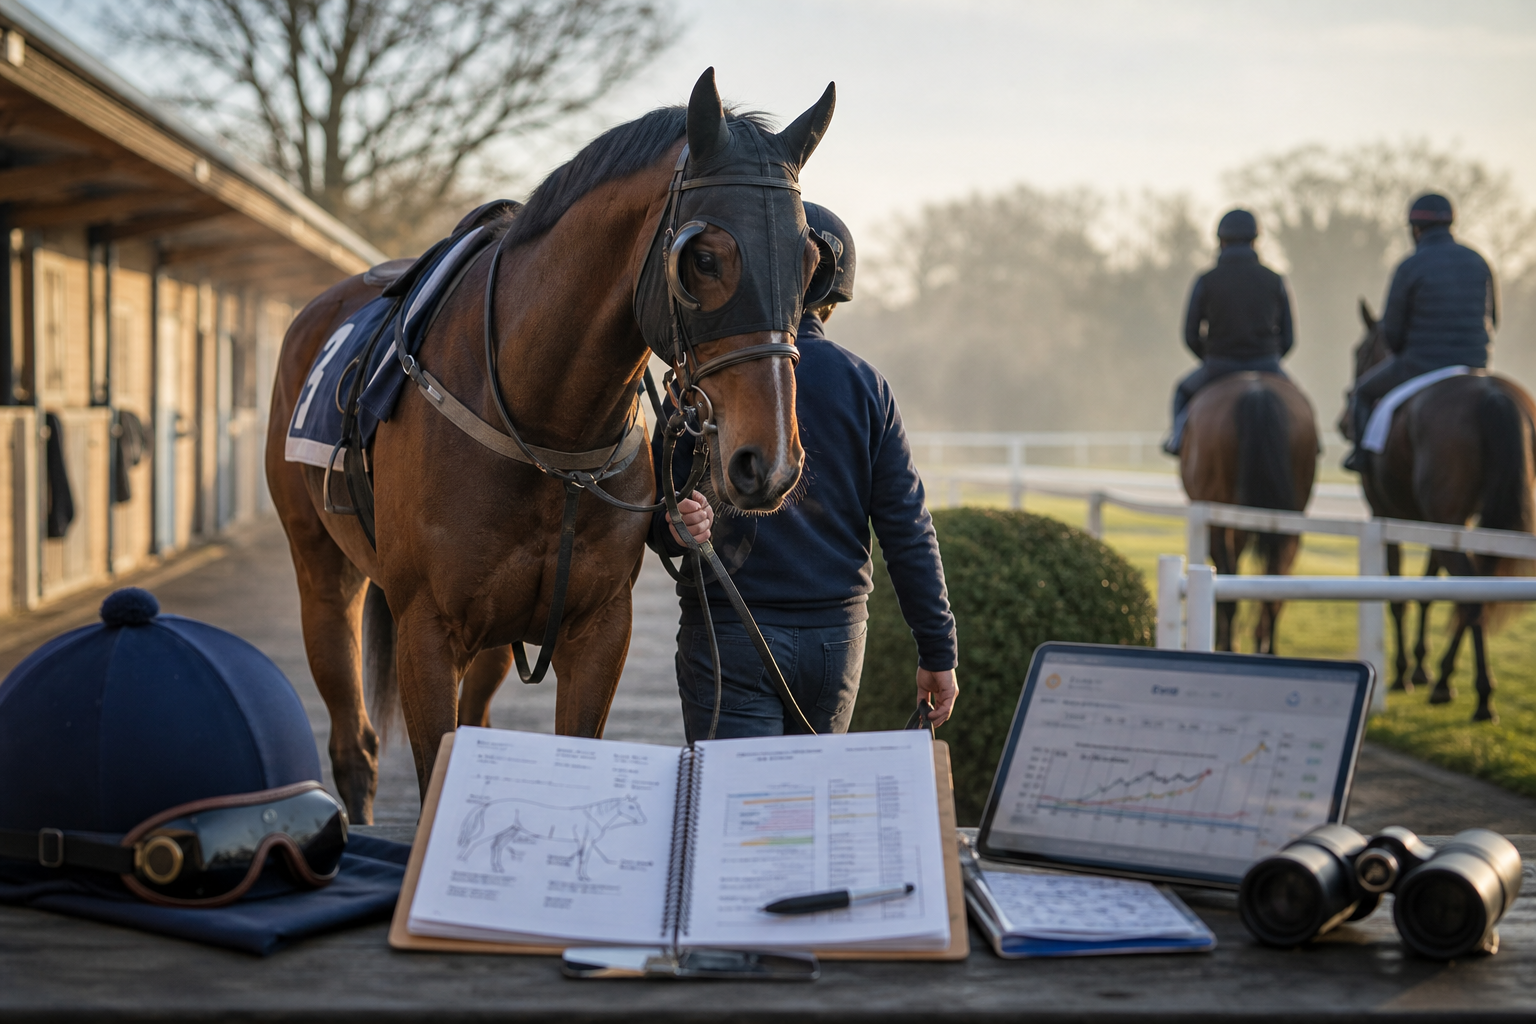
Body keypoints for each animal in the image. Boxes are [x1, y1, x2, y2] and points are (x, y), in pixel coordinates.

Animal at [266, 69, 837, 822]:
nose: (767, 463)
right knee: (352, 742)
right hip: (324, 577)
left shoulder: (597, 629)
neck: (545, 429)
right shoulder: (426, 631)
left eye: (808, 260)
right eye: (705, 258)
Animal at [457, 795, 646, 880]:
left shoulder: (585, 842)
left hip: (510, 831)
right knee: (474, 842)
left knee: (497, 846)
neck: (592, 817)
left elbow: (582, 857)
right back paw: (463, 861)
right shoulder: (586, 840)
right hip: (495, 829)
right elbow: (583, 858)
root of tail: (488, 804)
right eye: (631, 807)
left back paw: (498, 869)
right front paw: (582, 877)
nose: (643, 820)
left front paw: (581, 875)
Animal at [1345, 301, 1536, 721]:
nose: (1342, 421)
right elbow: (1428, 589)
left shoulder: (1387, 514)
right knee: (1474, 590)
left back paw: (1480, 696)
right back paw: (1452, 682)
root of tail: (1492, 393)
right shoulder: (1439, 523)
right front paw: (1421, 668)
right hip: (1474, 524)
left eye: (1359, 353)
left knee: (1471, 597)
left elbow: (1400, 596)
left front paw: (1404, 672)